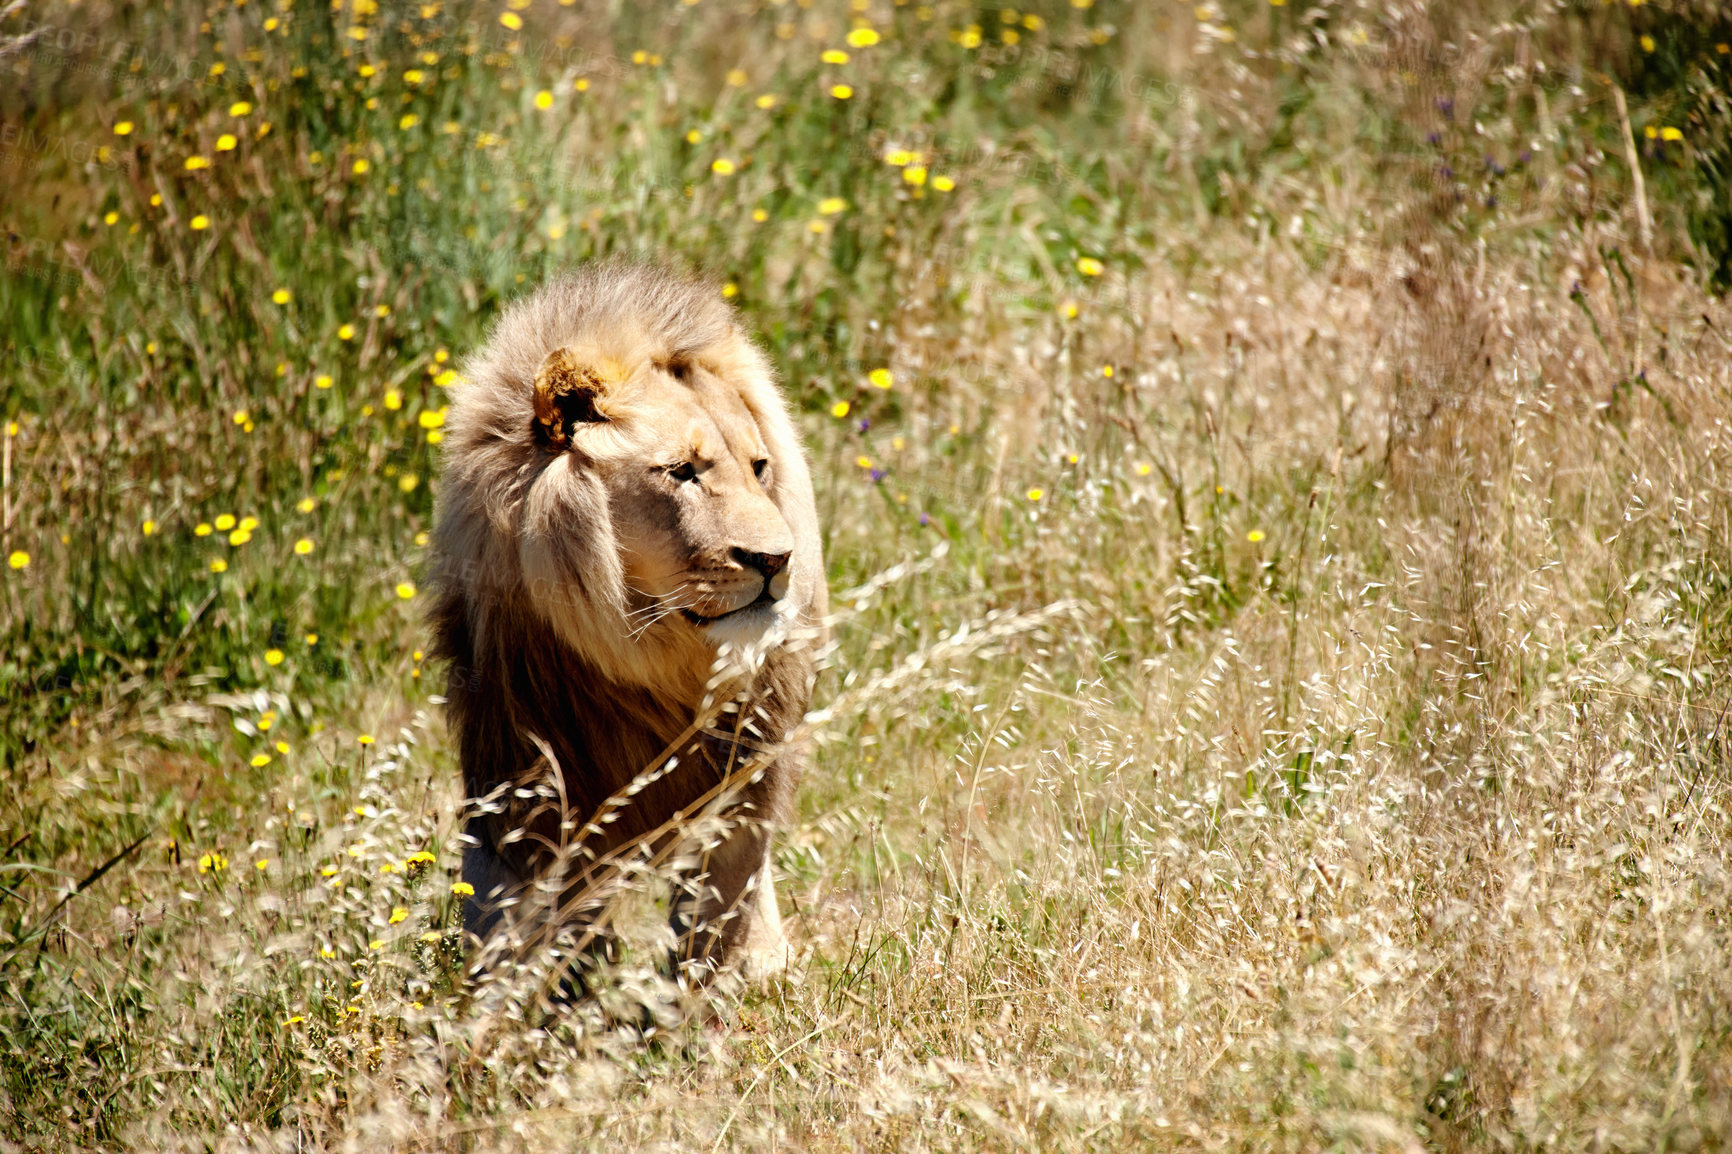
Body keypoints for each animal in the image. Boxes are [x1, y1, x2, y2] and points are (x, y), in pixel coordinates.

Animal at [422, 263, 820, 991]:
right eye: (681, 471)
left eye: (759, 468)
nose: (777, 560)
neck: (649, 664)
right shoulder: (520, 761)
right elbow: (516, 902)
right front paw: (530, 988)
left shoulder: (746, 767)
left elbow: (723, 894)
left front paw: (718, 979)